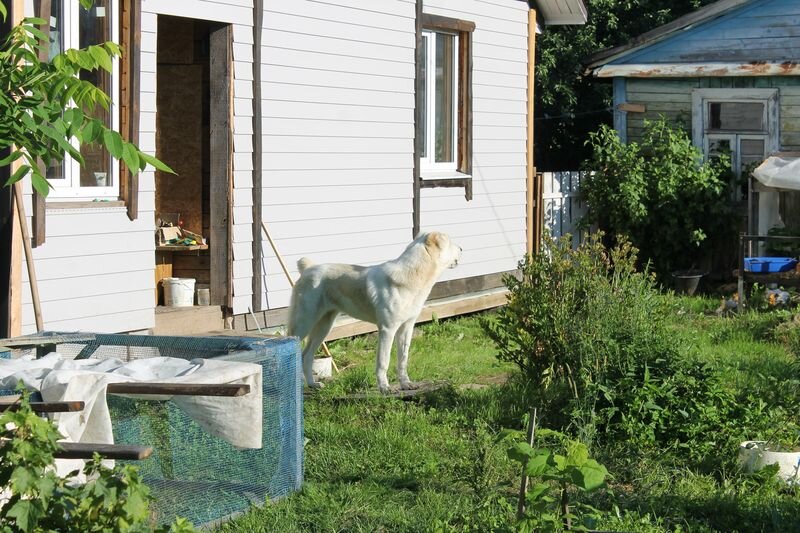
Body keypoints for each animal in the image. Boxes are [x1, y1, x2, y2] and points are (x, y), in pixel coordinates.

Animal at [288, 232, 462, 390]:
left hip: (324, 326)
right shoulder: (387, 329)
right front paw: (384, 388)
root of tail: (308, 269)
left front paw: (406, 384)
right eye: (450, 242)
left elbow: (403, 359)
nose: (461, 248)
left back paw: (313, 384)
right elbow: (383, 361)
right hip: (303, 323)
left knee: (307, 355)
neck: (414, 274)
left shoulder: (406, 328)